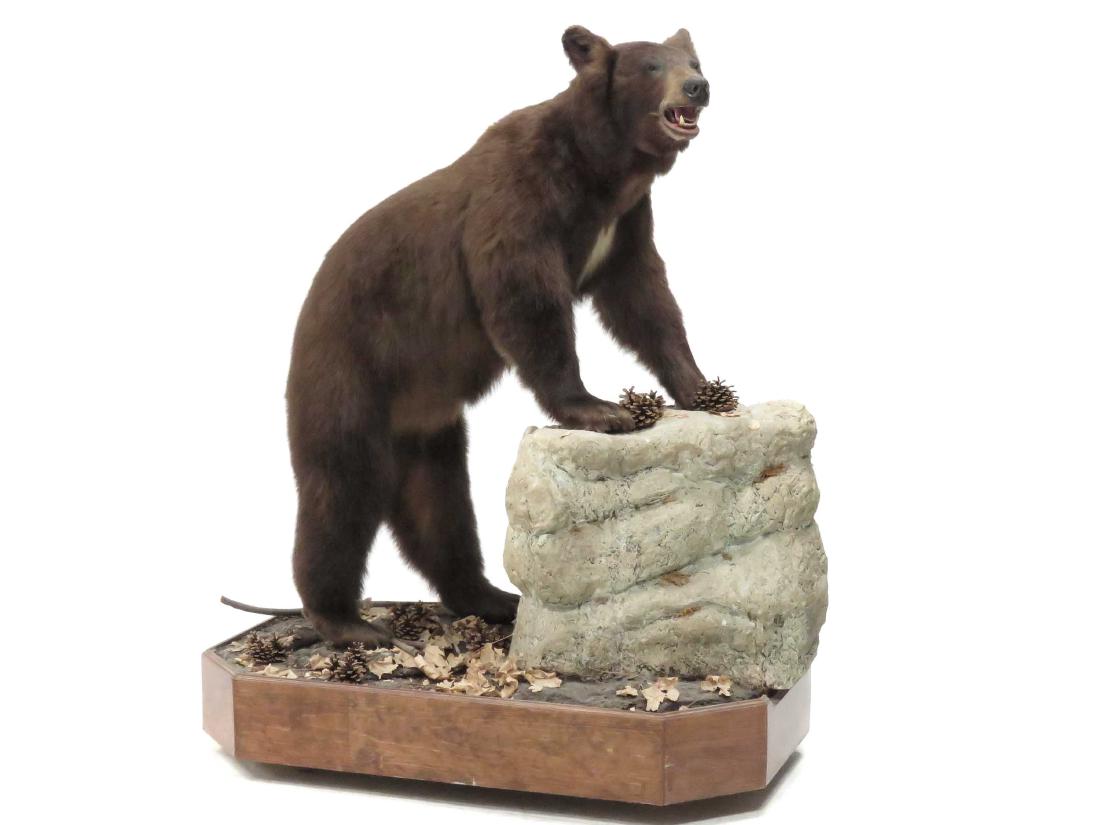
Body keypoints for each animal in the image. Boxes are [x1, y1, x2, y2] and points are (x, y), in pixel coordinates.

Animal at [286, 26, 714, 645]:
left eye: (694, 60)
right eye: (652, 65)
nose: (698, 87)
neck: (603, 170)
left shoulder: (627, 223)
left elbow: (644, 300)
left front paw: (703, 388)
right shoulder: (521, 198)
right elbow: (526, 300)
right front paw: (600, 410)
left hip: (428, 426)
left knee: (439, 507)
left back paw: (491, 597)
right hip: (348, 368)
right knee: (340, 488)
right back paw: (347, 622)